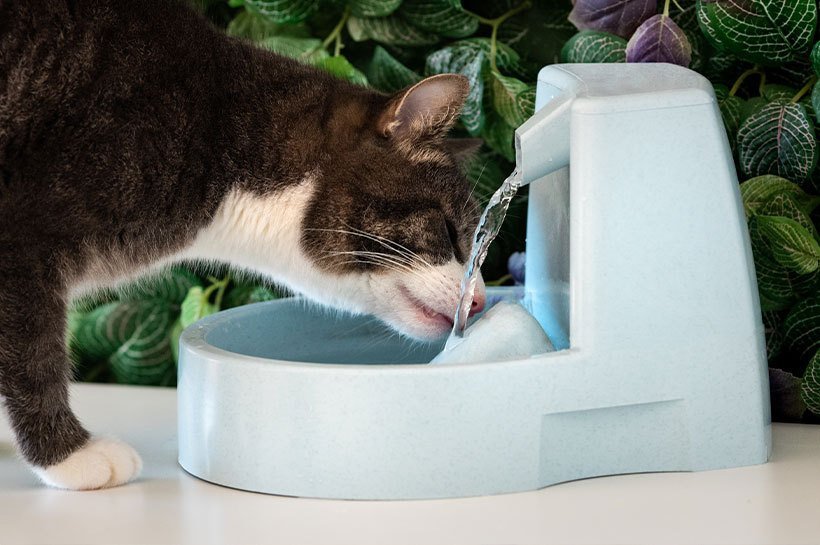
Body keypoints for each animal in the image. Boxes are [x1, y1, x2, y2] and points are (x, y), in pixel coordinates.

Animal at [0, 0, 486, 488]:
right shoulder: (24, 235)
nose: (480, 299)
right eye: (449, 232)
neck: (217, 129)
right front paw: (70, 458)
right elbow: (35, 355)